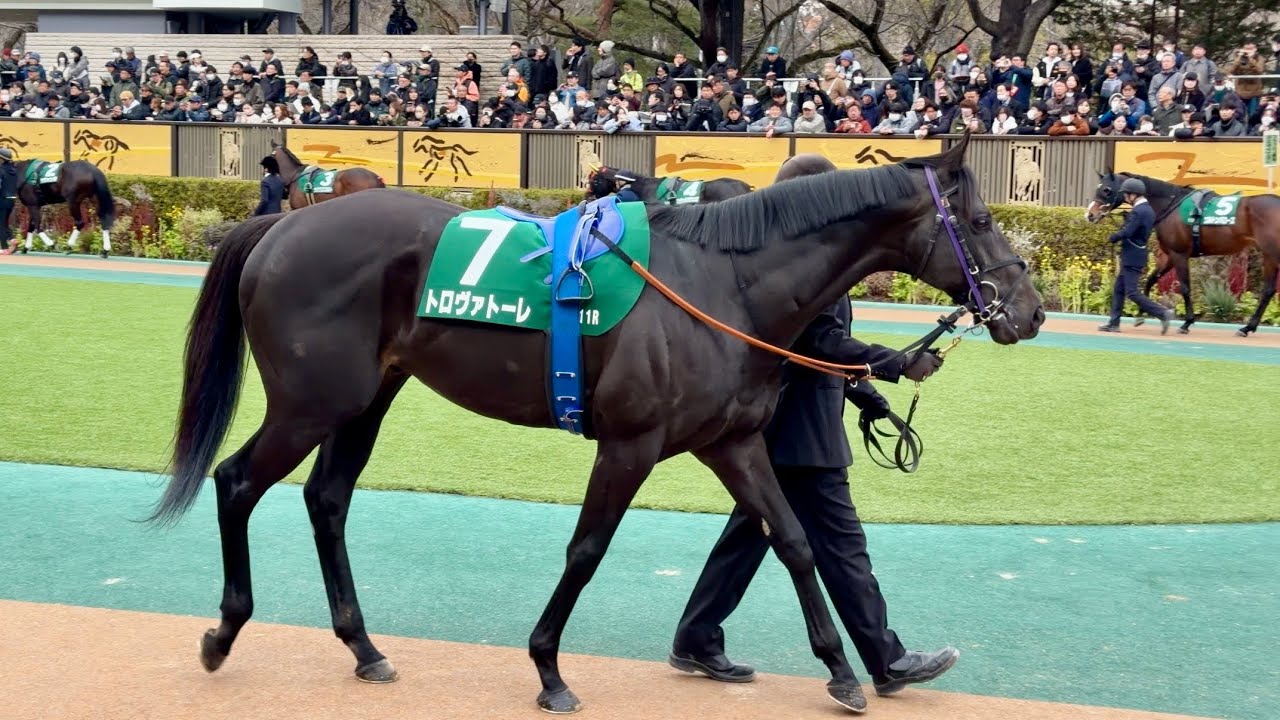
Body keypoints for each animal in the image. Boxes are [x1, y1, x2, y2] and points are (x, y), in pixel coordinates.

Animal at [147, 133, 1042, 714]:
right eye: (984, 222)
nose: (1029, 310)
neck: (722, 283)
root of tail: (282, 224)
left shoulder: (732, 441)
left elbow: (791, 538)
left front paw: (845, 671)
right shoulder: (630, 444)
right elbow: (586, 550)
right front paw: (548, 669)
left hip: (367, 396)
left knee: (327, 499)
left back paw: (364, 649)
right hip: (312, 401)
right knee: (237, 480)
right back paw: (223, 633)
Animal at [1086, 171, 1280, 336]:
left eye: (1106, 189)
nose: (1090, 214)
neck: (1170, 205)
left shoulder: (1179, 254)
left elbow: (1185, 287)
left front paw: (1186, 323)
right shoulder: (1169, 256)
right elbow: (1150, 280)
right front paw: (1141, 314)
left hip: (1272, 254)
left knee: (1268, 290)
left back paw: (1247, 327)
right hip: (1269, 255)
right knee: (1269, 290)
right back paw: (1248, 327)